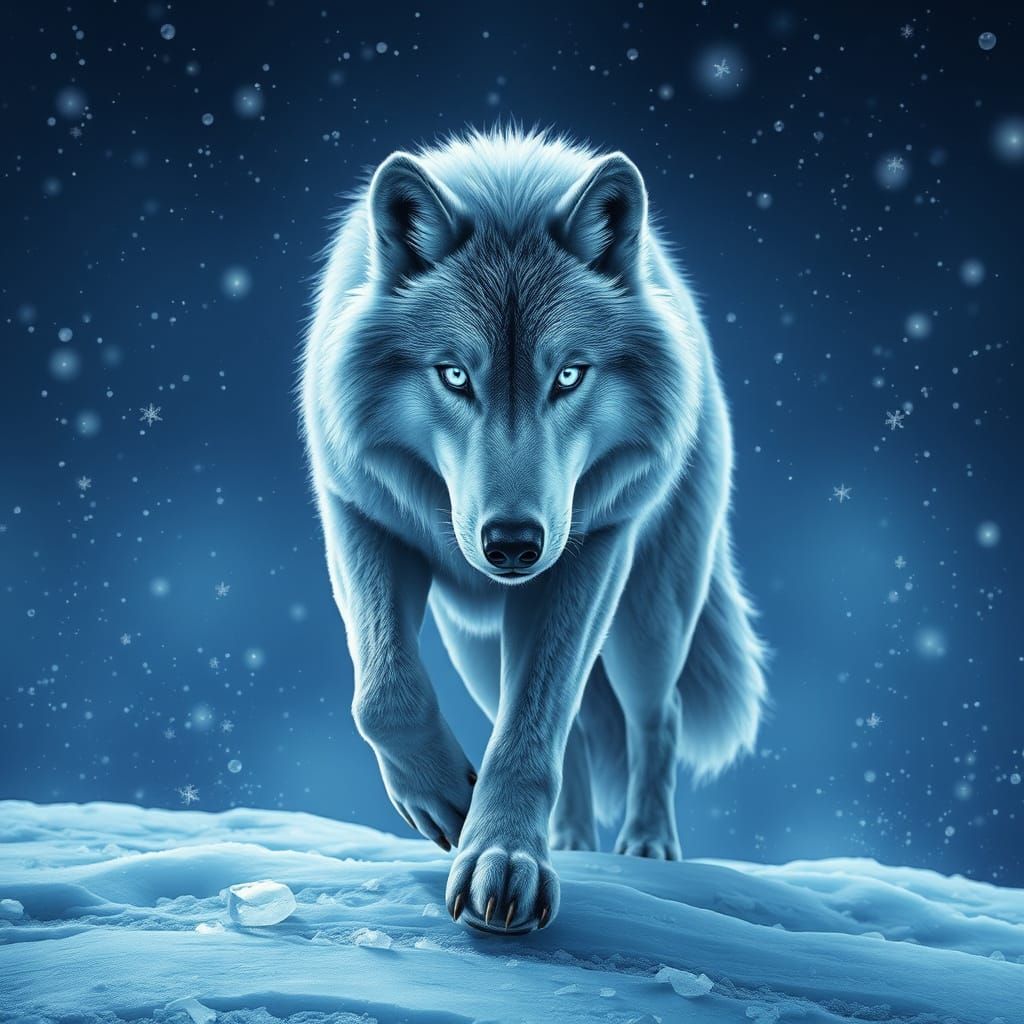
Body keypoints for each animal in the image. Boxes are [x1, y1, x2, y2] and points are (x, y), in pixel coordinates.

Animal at [302, 127, 767, 934]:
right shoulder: (359, 516)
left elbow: (533, 727)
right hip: (474, 648)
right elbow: (384, 694)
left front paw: (504, 861)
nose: (513, 544)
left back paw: (646, 846)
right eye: (455, 376)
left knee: (655, 715)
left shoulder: (590, 554)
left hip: (648, 620)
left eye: (570, 376)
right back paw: (573, 839)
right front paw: (450, 803)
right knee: (570, 730)